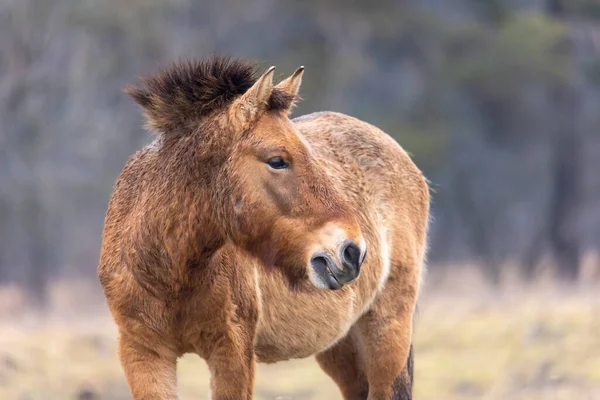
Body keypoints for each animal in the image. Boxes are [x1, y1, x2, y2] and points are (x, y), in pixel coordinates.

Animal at [96, 56, 428, 400]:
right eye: (277, 160)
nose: (352, 252)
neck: (169, 273)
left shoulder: (232, 352)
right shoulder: (143, 353)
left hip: (387, 331)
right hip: (340, 345)